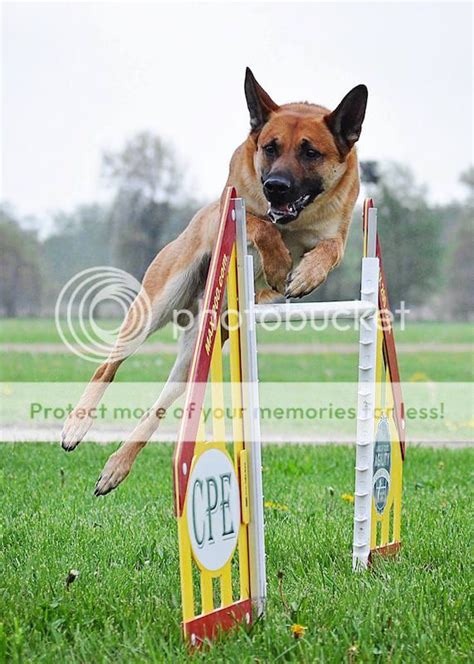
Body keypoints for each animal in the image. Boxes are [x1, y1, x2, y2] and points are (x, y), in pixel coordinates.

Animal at [62, 68, 366, 492]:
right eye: (270, 148)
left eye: (310, 153)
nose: (275, 186)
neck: (295, 221)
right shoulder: (237, 209)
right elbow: (261, 224)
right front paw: (278, 264)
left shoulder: (336, 234)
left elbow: (330, 250)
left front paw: (305, 274)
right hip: (156, 304)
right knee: (107, 365)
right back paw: (75, 427)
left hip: (198, 352)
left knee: (160, 407)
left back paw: (116, 467)